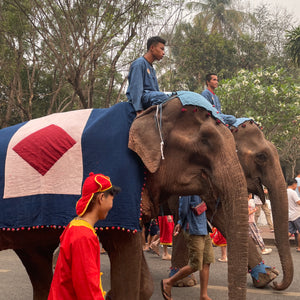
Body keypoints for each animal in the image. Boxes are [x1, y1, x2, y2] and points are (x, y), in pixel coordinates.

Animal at [0, 92, 248, 298]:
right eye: (205, 141)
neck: (147, 113)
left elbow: (142, 281)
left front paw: (113, 293)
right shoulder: (119, 176)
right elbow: (124, 250)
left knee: (36, 260)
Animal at [169, 119, 292, 290]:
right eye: (261, 156)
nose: (277, 285)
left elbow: (222, 217)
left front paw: (267, 277)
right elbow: (182, 213)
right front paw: (184, 282)